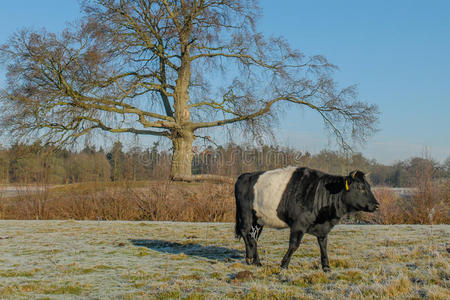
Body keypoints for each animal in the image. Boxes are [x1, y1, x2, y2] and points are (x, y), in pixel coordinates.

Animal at [236, 168, 380, 270]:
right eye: (361, 187)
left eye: (369, 186)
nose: (376, 204)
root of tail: (245, 175)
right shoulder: (298, 225)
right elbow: (294, 245)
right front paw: (284, 265)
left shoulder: (323, 227)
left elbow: (323, 245)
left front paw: (326, 267)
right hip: (246, 214)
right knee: (245, 232)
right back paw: (249, 257)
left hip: (259, 220)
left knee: (253, 237)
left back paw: (257, 262)